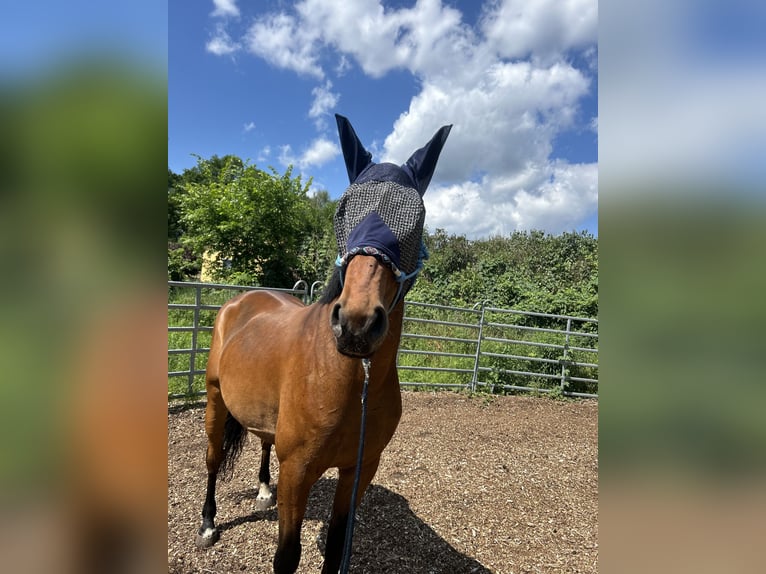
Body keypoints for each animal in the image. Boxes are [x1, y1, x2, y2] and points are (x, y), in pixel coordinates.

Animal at [195, 114, 451, 574]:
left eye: (416, 220)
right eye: (342, 210)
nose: (356, 323)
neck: (347, 381)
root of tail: (240, 301)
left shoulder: (359, 470)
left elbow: (336, 546)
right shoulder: (298, 473)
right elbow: (287, 555)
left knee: (264, 442)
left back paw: (264, 490)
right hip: (214, 401)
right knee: (211, 460)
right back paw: (207, 525)